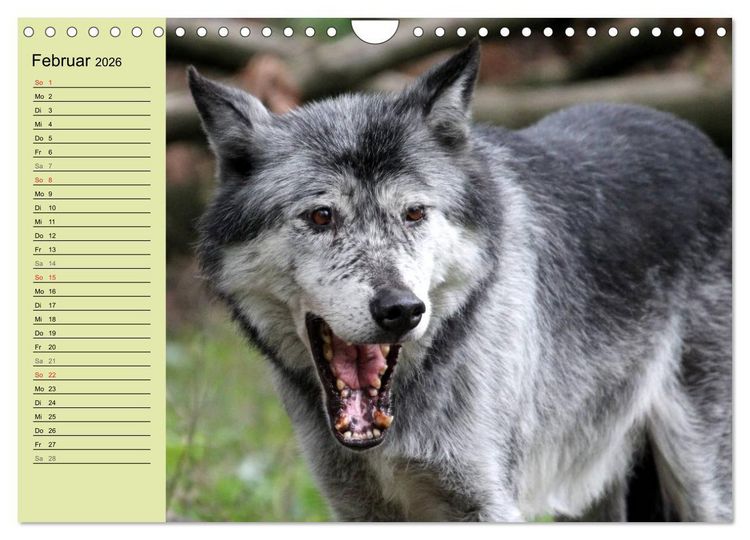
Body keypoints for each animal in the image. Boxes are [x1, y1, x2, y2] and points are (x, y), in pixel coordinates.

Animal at [187, 40, 732, 522]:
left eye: (414, 213)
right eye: (322, 216)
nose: (402, 310)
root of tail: (703, 144)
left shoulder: (487, 503)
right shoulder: (360, 508)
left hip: (704, 487)